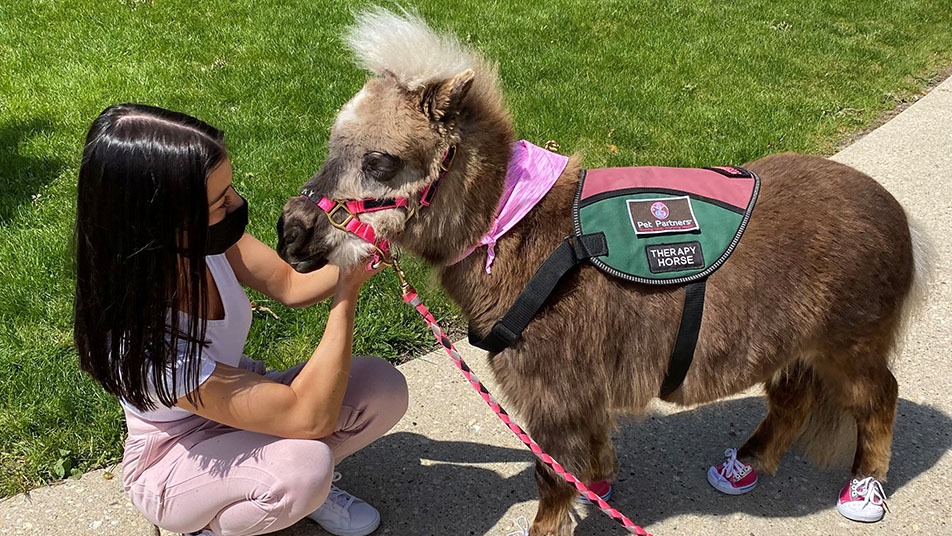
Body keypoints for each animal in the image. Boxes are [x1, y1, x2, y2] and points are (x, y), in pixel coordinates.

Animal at [276, 8, 928, 535]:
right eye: (332, 147)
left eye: (381, 162)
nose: (291, 233)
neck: (518, 238)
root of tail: (897, 215)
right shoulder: (578, 396)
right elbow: (586, 458)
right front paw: (599, 492)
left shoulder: (555, 395)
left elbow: (551, 475)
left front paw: (554, 522)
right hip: (793, 347)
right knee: (793, 400)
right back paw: (744, 466)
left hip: (849, 347)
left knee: (878, 398)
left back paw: (863, 491)